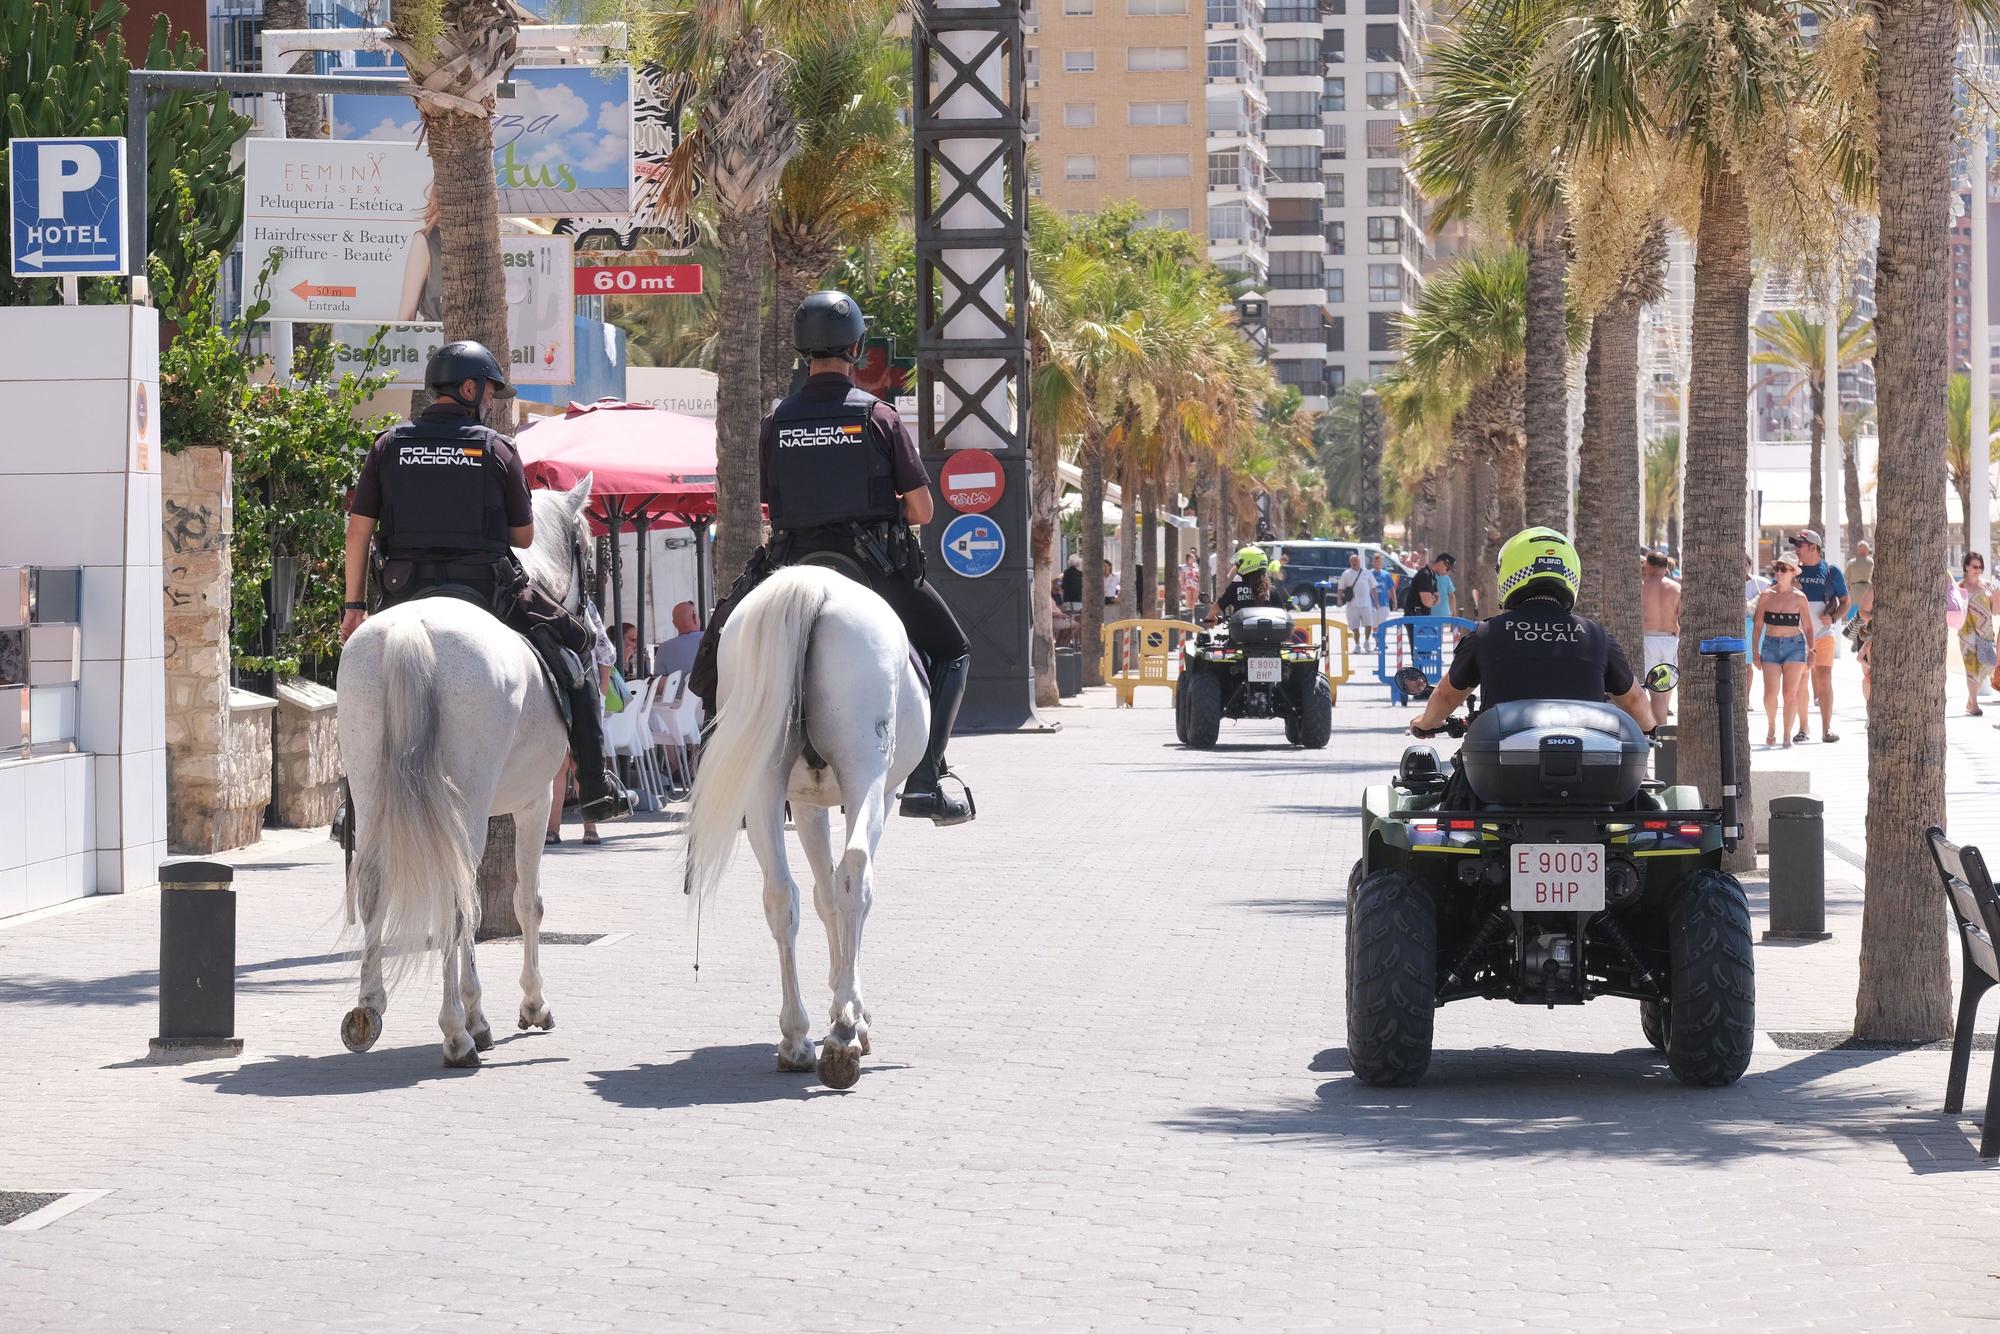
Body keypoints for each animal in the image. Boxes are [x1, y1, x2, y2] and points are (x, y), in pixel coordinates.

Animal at [334, 474, 592, 1072]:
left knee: (376, 886)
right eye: (590, 554)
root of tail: (410, 632)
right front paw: (526, 1006)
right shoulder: (534, 801)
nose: (593, 624)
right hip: (473, 799)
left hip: (374, 786)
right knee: (455, 897)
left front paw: (481, 1012)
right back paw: (454, 1034)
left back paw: (369, 1010)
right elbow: (524, 903)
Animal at [684, 568, 932, 1088]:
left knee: (782, 895)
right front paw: (852, 1008)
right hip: (864, 775)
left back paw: (796, 1038)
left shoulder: (804, 804)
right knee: (855, 875)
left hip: (762, 785)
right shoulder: (876, 796)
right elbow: (841, 893)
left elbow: (822, 897)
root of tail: (814, 586)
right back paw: (842, 1037)